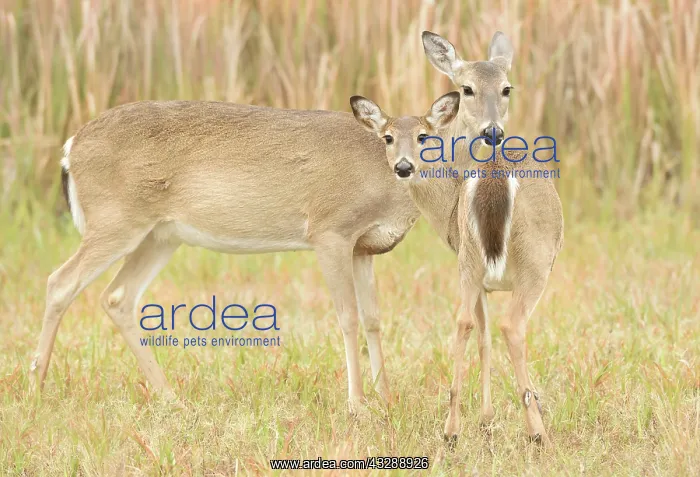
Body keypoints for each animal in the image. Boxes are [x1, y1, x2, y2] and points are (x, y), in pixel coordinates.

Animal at [30, 100, 424, 413]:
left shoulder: (364, 247)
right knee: (60, 282)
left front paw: (386, 398)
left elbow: (373, 319)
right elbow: (348, 318)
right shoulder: (331, 231)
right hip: (116, 220)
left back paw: (171, 398)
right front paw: (357, 405)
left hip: (159, 236)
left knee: (117, 297)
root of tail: (71, 147)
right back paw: (37, 387)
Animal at [349, 31, 563, 445]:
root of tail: (494, 176)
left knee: (464, 321)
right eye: (467, 88)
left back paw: (451, 429)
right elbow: (488, 334)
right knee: (511, 325)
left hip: (472, 260)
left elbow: (479, 332)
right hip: (533, 259)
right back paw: (537, 431)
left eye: (506, 87)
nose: (493, 131)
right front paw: (489, 417)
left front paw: (482, 418)